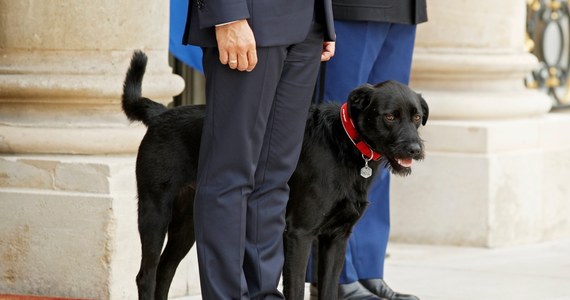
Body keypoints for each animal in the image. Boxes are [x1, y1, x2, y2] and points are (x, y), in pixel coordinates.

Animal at [124, 50, 426, 298]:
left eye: (416, 117)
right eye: (389, 116)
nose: (415, 149)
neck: (346, 144)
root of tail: (160, 113)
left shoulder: (336, 238)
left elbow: (329, 290)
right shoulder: (299, 233)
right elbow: (296, 289)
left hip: (189, 223)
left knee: (165, 271)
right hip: (154, 212)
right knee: (145, 276)